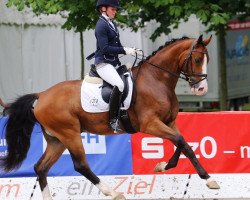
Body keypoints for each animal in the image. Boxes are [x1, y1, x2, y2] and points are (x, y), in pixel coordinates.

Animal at [0, 35, 219, 199]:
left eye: (207, 60)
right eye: (197, 60)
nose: (201, 89)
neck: (157, 80)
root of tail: (41, 95)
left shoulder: (170, 122)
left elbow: (184, 145)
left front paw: (166, 167)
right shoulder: (151, 124)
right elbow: (182, 142)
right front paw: (205, 178)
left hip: (57, 140)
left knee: (41, 168)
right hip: (69, 134)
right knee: (80, 165)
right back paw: (113, 193)